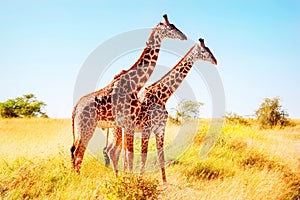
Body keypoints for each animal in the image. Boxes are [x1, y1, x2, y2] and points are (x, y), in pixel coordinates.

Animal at [71, 14, 186, 175]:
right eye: (171, 27)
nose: (184, 36)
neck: (134, 84)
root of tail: (75, 109)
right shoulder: (129, 121)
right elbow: (128, 155)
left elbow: (126, 154)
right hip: (87, 127)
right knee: (78, 152)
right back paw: (78, 178)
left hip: (80, 128)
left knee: (75, 151)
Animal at [109, 38, 217, 183]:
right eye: (204, 51)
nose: (215, 61)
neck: (162, 97)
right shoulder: (147, 128)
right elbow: (144, 156)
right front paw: (139, 180)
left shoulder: (160, 128)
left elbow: (161, 157)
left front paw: (165, 184)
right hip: (117, 128)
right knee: (114, 151)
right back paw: (118, 178)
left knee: (120, 152)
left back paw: (122, 176)